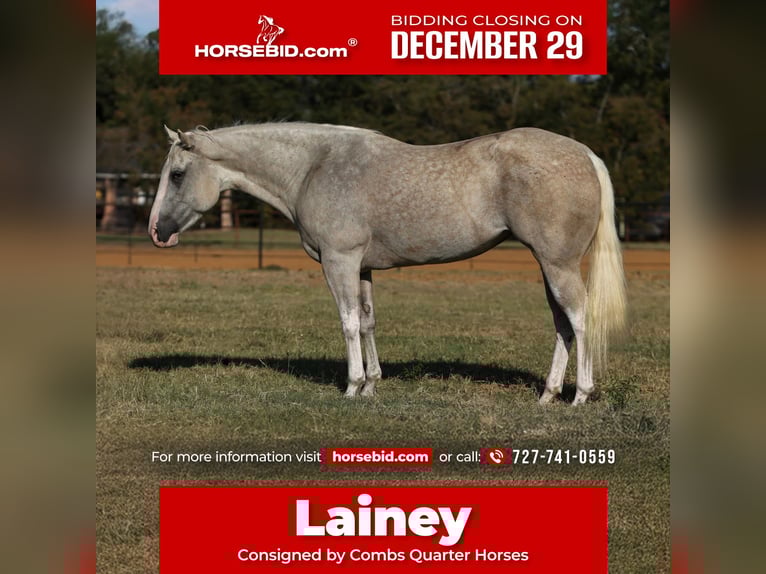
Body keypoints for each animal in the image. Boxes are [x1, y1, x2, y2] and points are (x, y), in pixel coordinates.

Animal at [149, 123, 627, 405]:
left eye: (177, 175)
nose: (157, 231)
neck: (313, 167)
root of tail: (585, 153)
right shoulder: (362, 268)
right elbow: (367, 322)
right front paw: (372, 384)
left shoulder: (339, 262)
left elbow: (347, 323)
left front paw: (352, 386)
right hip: (549, 266)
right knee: (563, 324)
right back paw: (548, 395)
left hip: (558, 264)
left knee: (579, 318)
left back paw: (580, 395)